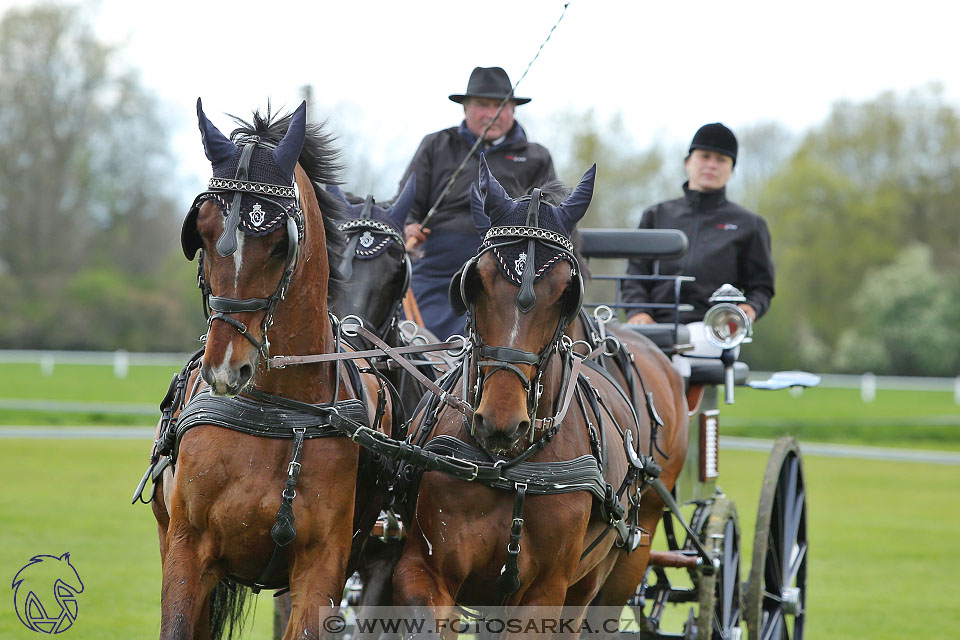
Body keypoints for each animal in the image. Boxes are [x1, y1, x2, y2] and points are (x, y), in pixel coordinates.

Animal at [141, 100, 388, 640]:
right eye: (203, 233)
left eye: (279, 244)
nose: (226, 368)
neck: (276, 412)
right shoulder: (187, 550)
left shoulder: (321, 568)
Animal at [392, 159, 688, 636]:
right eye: (475, 281)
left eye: (568, 291)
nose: (501, 420)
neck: (509, 467)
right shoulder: (423, 569)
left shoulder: (544, 595)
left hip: (612, 570)